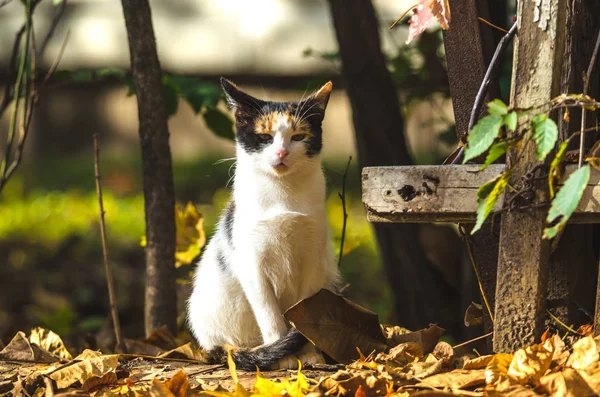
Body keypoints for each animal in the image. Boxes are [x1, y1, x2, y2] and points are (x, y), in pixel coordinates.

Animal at [185, 79, 340, 370]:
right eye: (265, 137)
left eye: (298, 137)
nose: (281, 152)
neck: (282, 194)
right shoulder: (252, 265)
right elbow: (270, 315)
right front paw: (285, 356)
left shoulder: (314, 259)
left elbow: (304, 312)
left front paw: (308, 354)